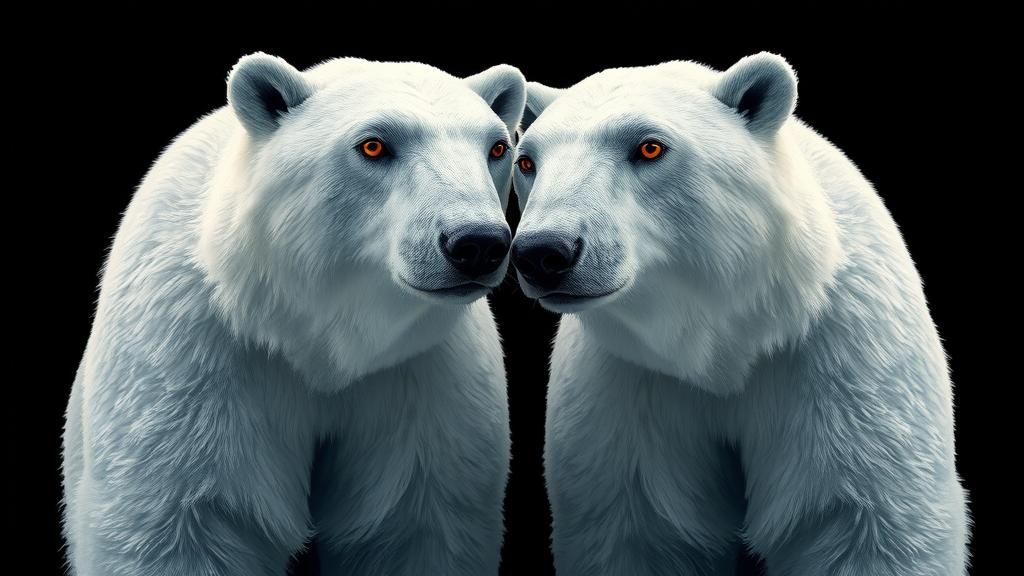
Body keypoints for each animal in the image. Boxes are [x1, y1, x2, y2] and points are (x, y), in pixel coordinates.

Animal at [61, 53, 526, 576]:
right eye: (373, 145)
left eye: (497, 147)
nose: (477, 243)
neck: (313, 338)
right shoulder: (196, 360)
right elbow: (182, 521)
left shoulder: (422, 376)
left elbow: (412, 526)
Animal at [510, 53, 969, 575]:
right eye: (527, 160)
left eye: (649, 147)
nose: (544, 252)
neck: (728, 342)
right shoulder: (630, 386)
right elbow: (642, 530)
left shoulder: (839, 364)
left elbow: (858, 519)